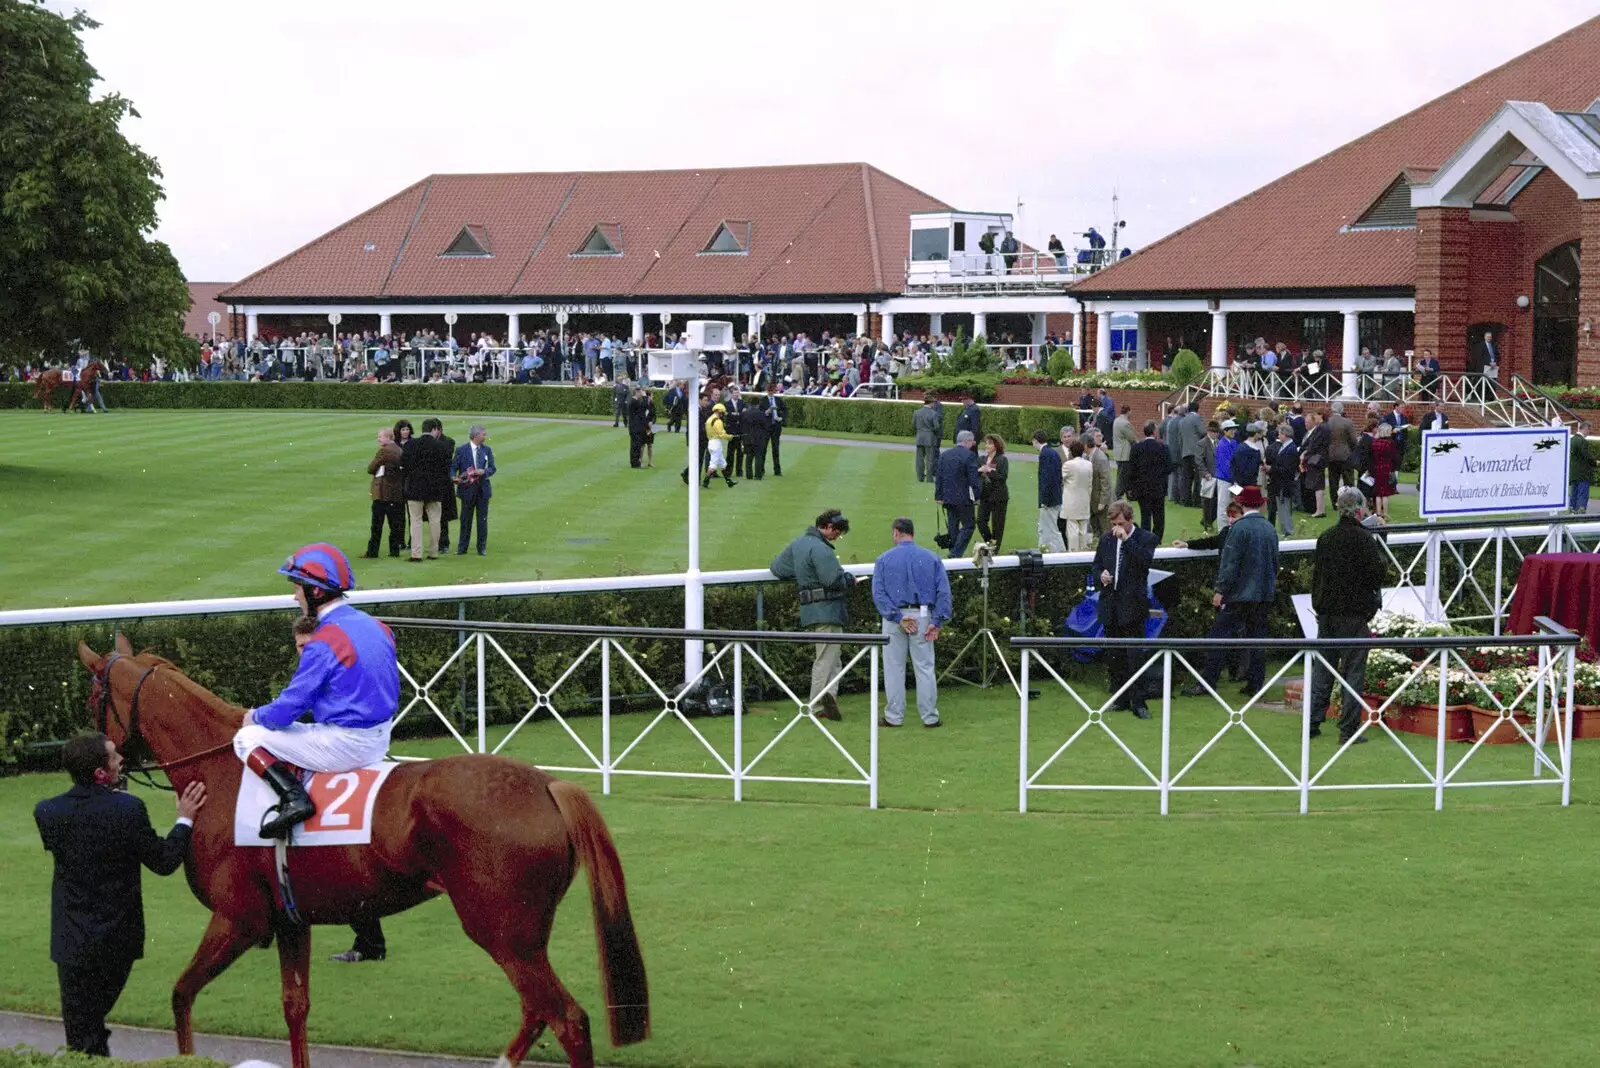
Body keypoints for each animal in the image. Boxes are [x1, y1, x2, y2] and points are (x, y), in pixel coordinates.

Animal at [75, 639, 649, 1061]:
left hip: (502, 931)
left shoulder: (237, 919)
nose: (105, 762)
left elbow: (181, 995)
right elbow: (295, 1008)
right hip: (523, 937)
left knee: (567, 1019)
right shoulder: (291, 921)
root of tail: (549, 785)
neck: (220, 772)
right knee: (537, 1012)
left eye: (91, 698)